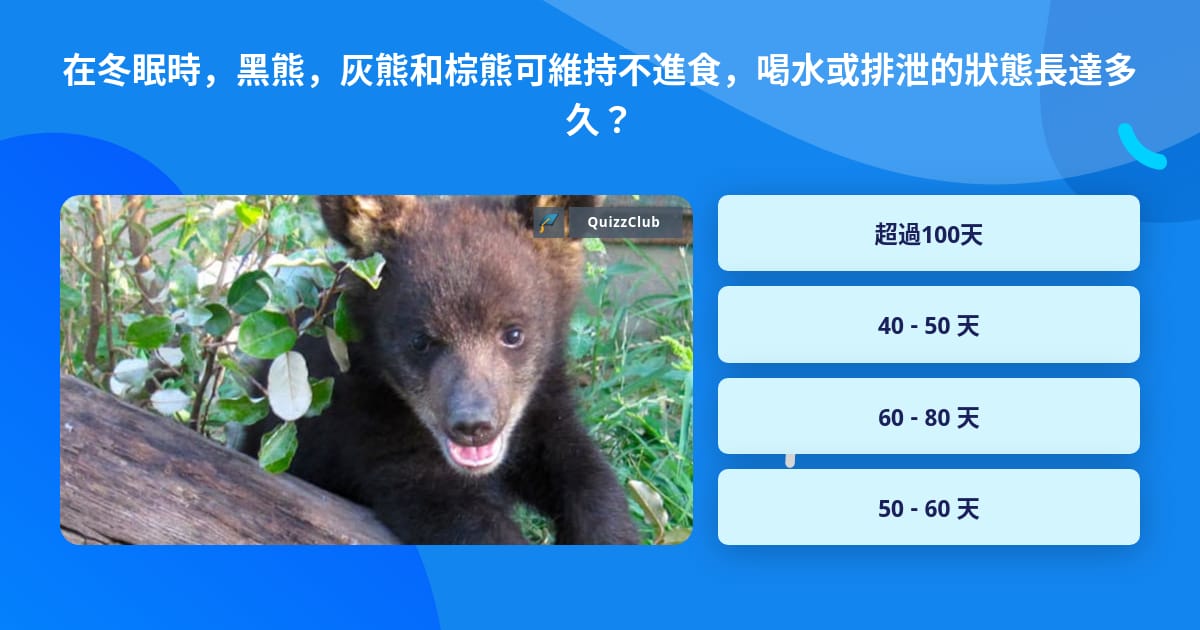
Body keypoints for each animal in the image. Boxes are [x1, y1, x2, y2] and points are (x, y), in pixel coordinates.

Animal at [239, 195, 640, 545]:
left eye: (513, 333)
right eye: (420, 341)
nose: (473, 426)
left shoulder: (543, 405)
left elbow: (586, 474)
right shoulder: (373, 429)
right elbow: (455, 514)